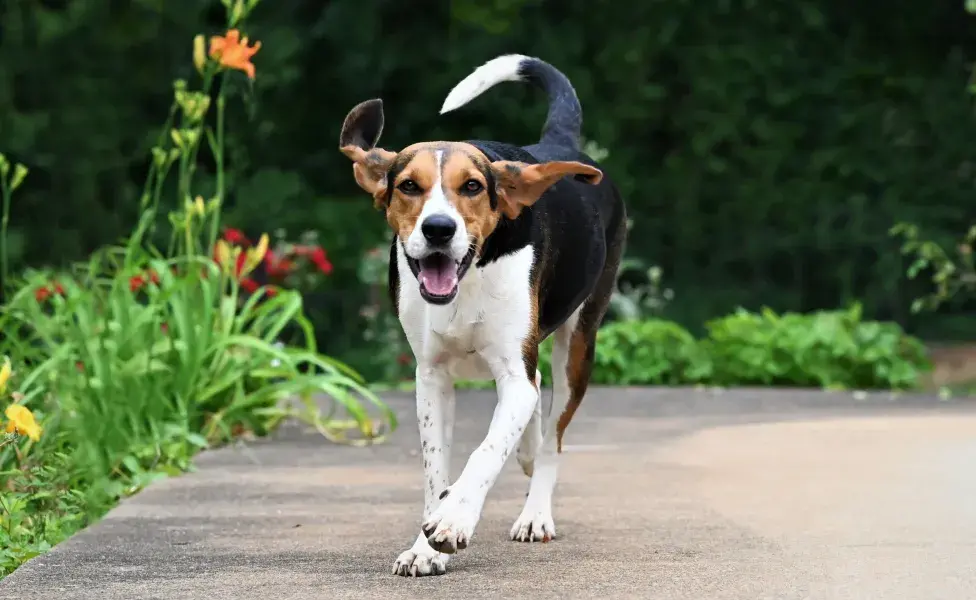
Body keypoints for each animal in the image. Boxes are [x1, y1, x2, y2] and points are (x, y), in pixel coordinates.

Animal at [338, 54, 624, 576]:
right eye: (408, 186)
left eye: (471, 187)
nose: (438, 228)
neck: (469, 277)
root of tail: (558, 144)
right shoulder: (431, 377)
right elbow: (436, 470)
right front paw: (425, 546)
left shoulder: (513, 374)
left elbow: (485, 451)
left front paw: (454, 521)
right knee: (536, 405)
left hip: (578, 345)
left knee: (552, 433)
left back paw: (535, 513)